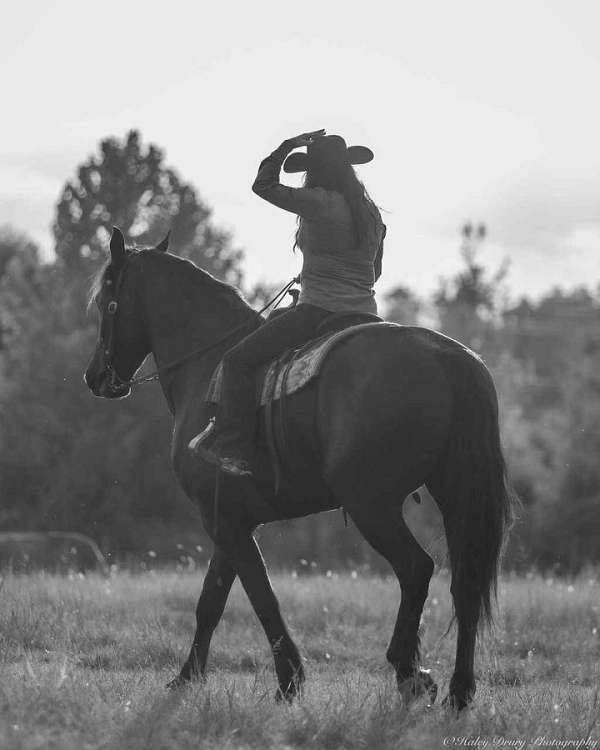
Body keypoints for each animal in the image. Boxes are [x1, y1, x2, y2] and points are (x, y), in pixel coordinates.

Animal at [84, 228, 513, 711]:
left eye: (107, 301)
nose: (94, 376)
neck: (207, 366)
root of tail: (445, 356)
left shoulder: (221, 519)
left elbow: (259, 596)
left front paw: (289, 679)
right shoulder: (231, 517)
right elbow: (212, 599)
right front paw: (187, 677)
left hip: (371, 505)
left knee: (416, 569)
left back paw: (409, 672)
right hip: (454, 494)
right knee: (466, 584)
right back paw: (459, 691)